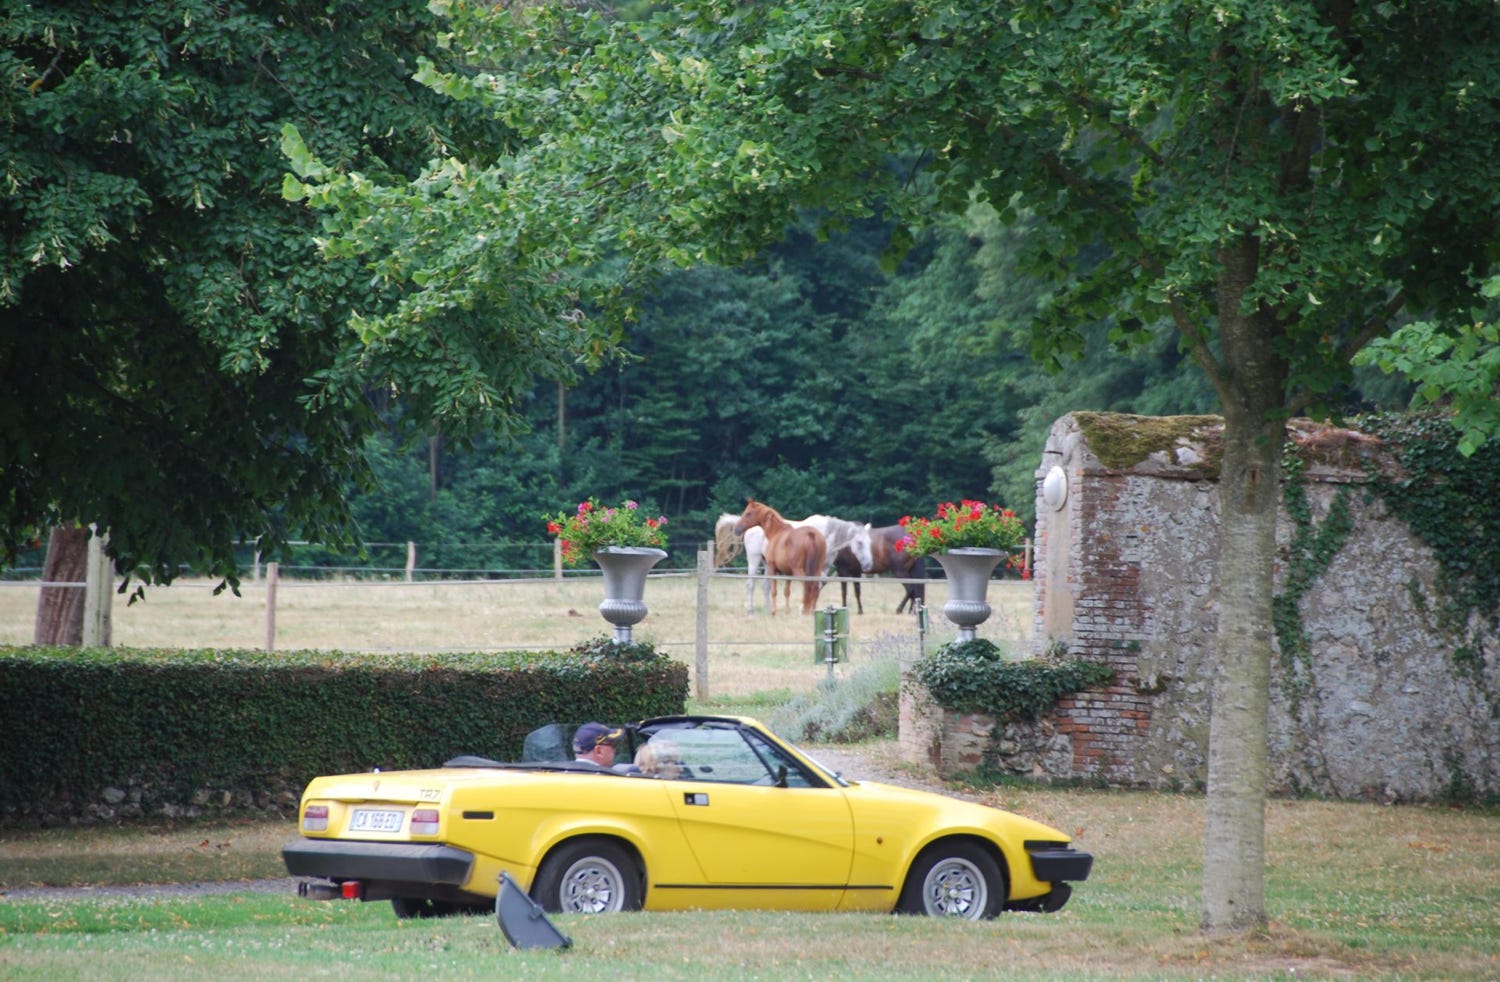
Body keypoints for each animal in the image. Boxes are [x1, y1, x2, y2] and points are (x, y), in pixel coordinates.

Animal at [717, 515, 876, 614]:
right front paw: (803, 607)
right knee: (751, 584)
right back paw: (750, 611)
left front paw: (811, 607)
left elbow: (819, 585)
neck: (825, 534)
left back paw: (769, 609)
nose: (868, 565)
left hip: (767, 563)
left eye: (869, 542)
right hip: (754, 559)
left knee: (766, 586)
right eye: (859, 542)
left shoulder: (823, 567)